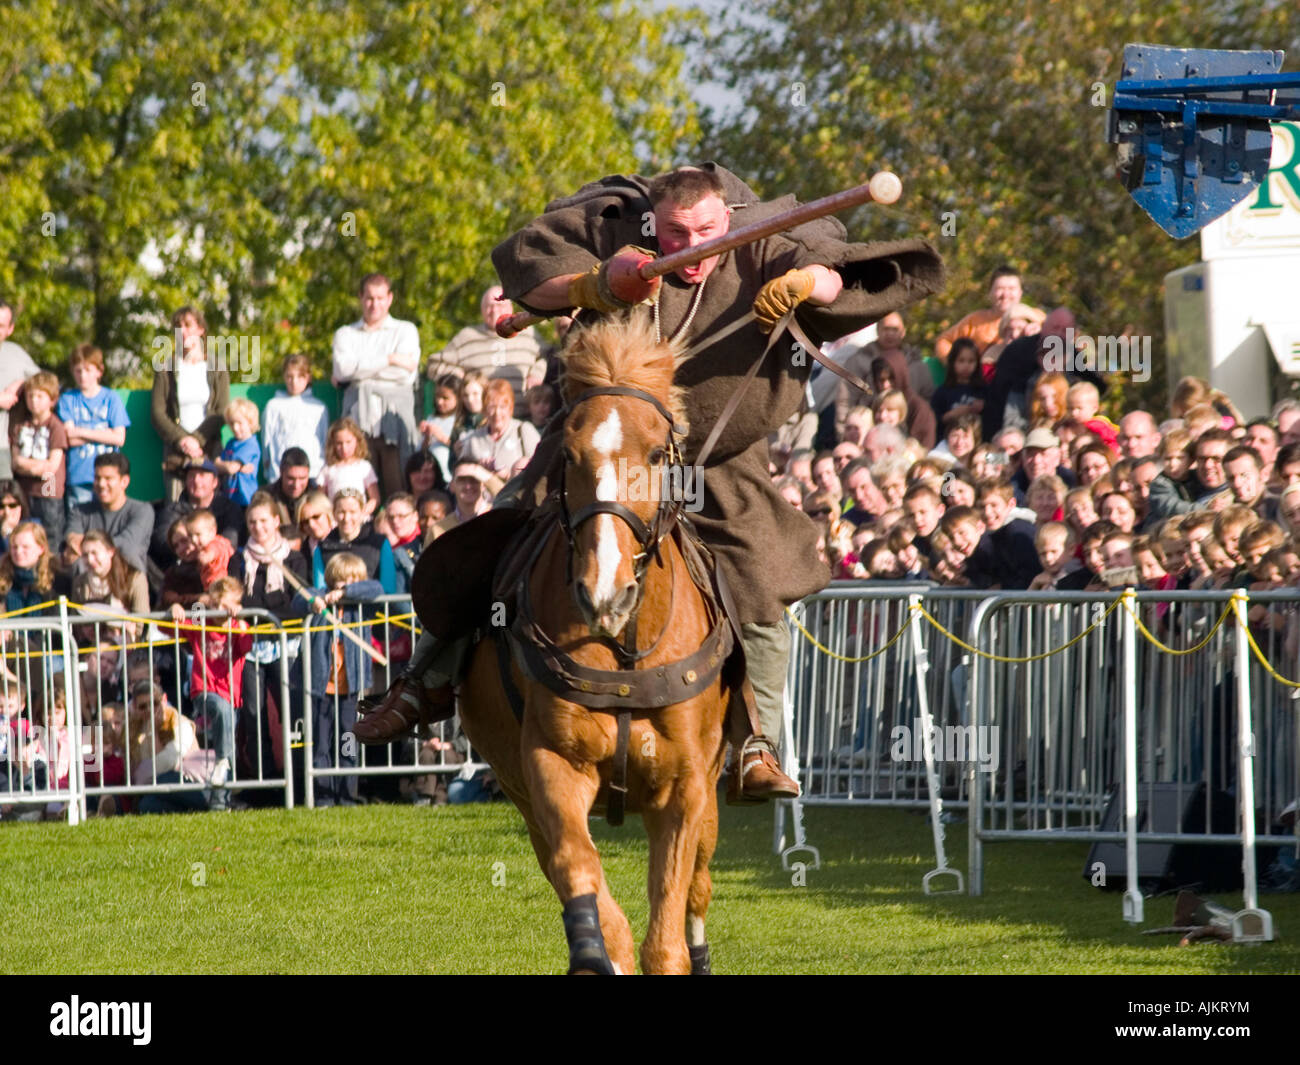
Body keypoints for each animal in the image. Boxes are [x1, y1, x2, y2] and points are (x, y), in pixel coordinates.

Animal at [457, 314, 733, 972]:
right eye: (569, 453)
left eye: (657, 453)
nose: (603, 592)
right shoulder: (550, 770)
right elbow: (587, 883)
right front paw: (591, 947)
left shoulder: (688, 788)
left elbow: (667, 932)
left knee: (700, 885)